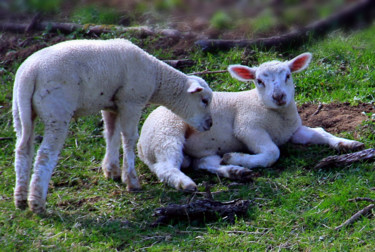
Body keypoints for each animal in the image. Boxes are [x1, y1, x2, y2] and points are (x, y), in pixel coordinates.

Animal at [13, 39, 213, 213]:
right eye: (204, 100)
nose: (210, 124)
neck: (156, 76)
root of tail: (30, 74)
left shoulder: (111, 104)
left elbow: (111, 134)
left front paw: (112, 171)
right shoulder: (131, 101)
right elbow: (129, 139)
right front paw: (131, 181)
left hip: (20, 110)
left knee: (23, 149)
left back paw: (21, 198)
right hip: (57, 110)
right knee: (45, 154)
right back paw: (37, 202)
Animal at [137, 52, 364, 191]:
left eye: (288, 75)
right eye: (259, 81)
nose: (279, 96)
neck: (275, 115)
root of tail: (140, 144)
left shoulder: (293, 130)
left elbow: (320, 132)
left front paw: (348, 144)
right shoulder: (248, 127)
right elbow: (273, 153)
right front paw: (244, 157)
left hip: (197, 150)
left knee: (204, 163)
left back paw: (234, 170)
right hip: (166, 134)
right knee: (165, 167)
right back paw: (187, 183)